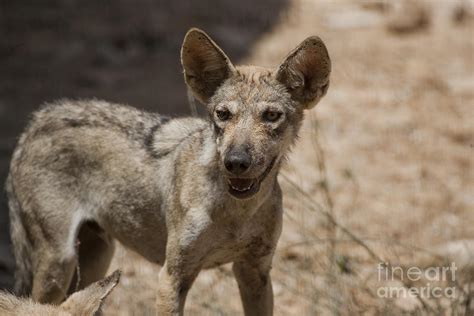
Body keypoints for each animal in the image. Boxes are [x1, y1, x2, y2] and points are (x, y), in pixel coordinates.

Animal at [7, 28, 332, 314]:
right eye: (223, 114)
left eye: (271, 116)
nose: (236, 161)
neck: (236, 214)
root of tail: (39, 119)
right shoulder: (172, 277)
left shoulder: (255, 273)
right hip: (59, 263)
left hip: (96, 259)